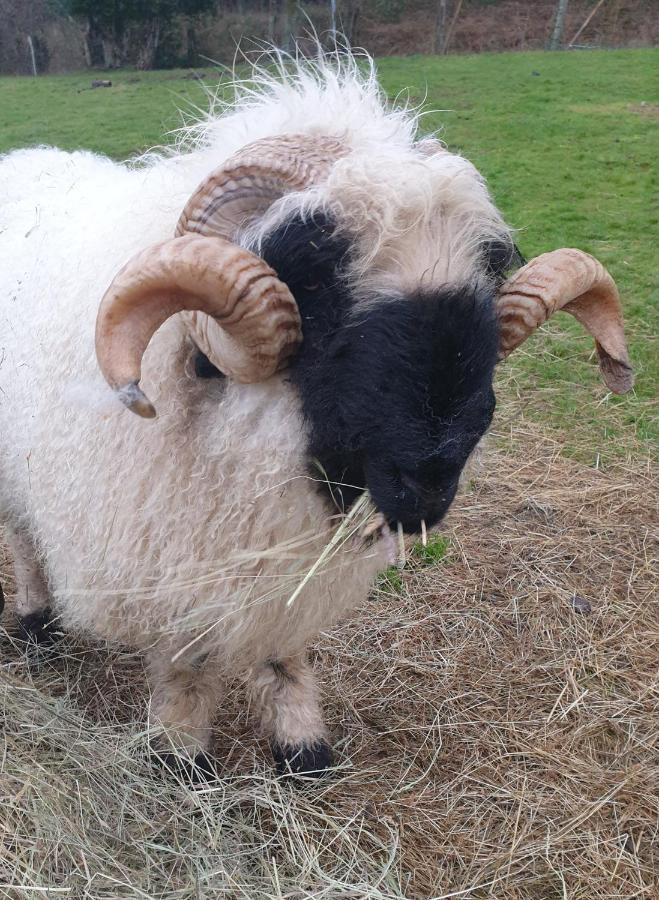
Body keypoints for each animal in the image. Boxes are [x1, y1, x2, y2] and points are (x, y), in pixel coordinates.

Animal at [0, 54, 636, 772]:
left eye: (488, 275)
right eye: (313, 273)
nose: (430, 474)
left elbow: (285, 644)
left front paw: (302, 741)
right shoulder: (169, 549)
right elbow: (187, 656)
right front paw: (179, 749)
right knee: (21, 535)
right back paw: (36, 621)